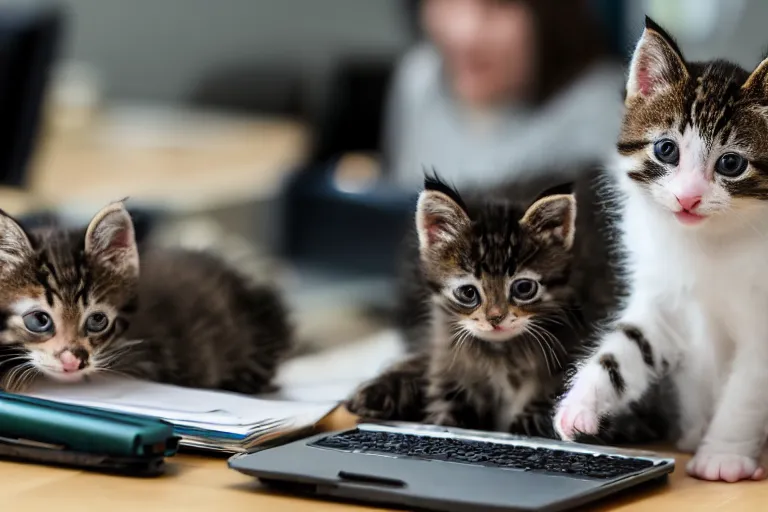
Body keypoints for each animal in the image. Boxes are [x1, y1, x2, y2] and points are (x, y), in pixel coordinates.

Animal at [552, 15, 768, 480]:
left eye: (731, 163)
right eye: (666, 150)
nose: (688, 198)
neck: (708, 242)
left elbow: (746, 390)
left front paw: (724, 455)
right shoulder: (663, 297)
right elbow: (627, 347)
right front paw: (580, 403)